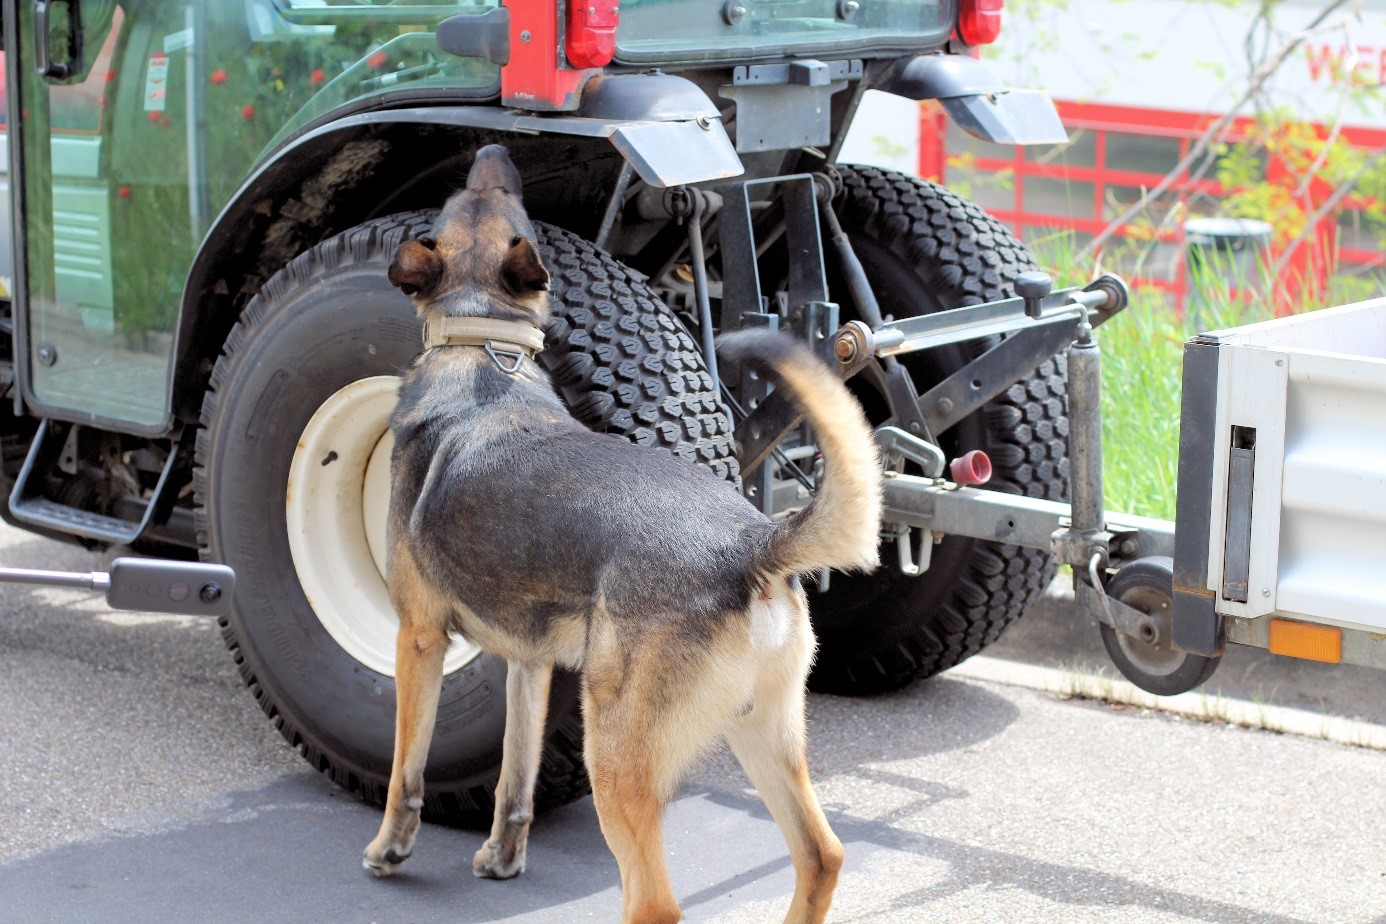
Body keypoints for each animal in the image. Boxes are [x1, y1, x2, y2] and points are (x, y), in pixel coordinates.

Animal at [357, 146, 875, 924]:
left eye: (452, 205)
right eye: (497, 198)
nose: (493, 152)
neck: (484, 348)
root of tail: (750, 545)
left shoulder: (417, 638)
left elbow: (404, 771)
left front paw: (390, 850)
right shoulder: (530, 664)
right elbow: (515, 780)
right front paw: (502, 858)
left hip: (618, 757)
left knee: (655, 902)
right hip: (759, 731)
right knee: (822, 856)